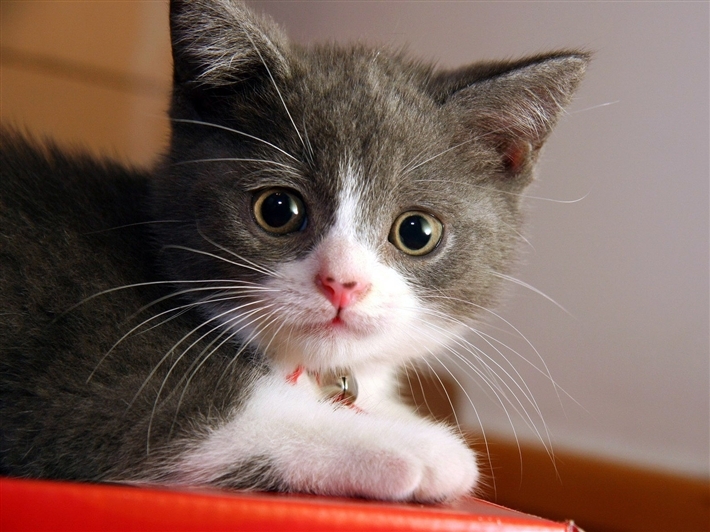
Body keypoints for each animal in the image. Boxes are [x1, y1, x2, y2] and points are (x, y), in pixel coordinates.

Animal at [0, 0, 588, 502]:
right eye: (278, 209)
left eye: (417, 231)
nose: (343, 283)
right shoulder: (82, 381)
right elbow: (193, 415)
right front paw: (417, 445)